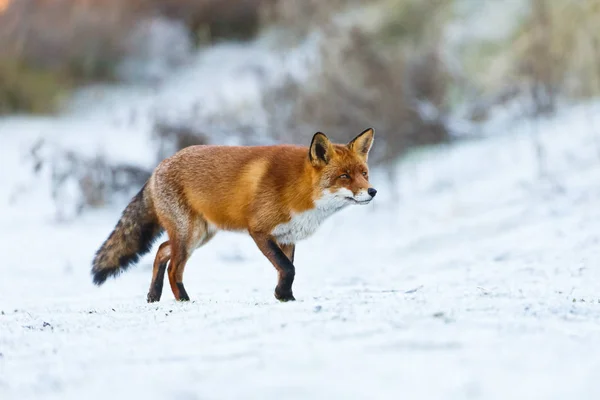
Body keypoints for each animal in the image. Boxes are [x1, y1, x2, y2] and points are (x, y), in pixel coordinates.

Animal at [92, 130, 378, 302]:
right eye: (344, 176)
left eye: (364, 173)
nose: (372, 191)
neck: (299, 190)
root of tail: (157, 168)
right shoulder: (259, 231)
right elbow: (288, 268)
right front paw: (282, 295)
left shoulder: (287, 237)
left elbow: (287, 270)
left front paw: (285, 297)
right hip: (189, 234)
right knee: (174, 267)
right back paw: (183, 300)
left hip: (199, 234)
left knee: (162, 250)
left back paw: (153, 295)